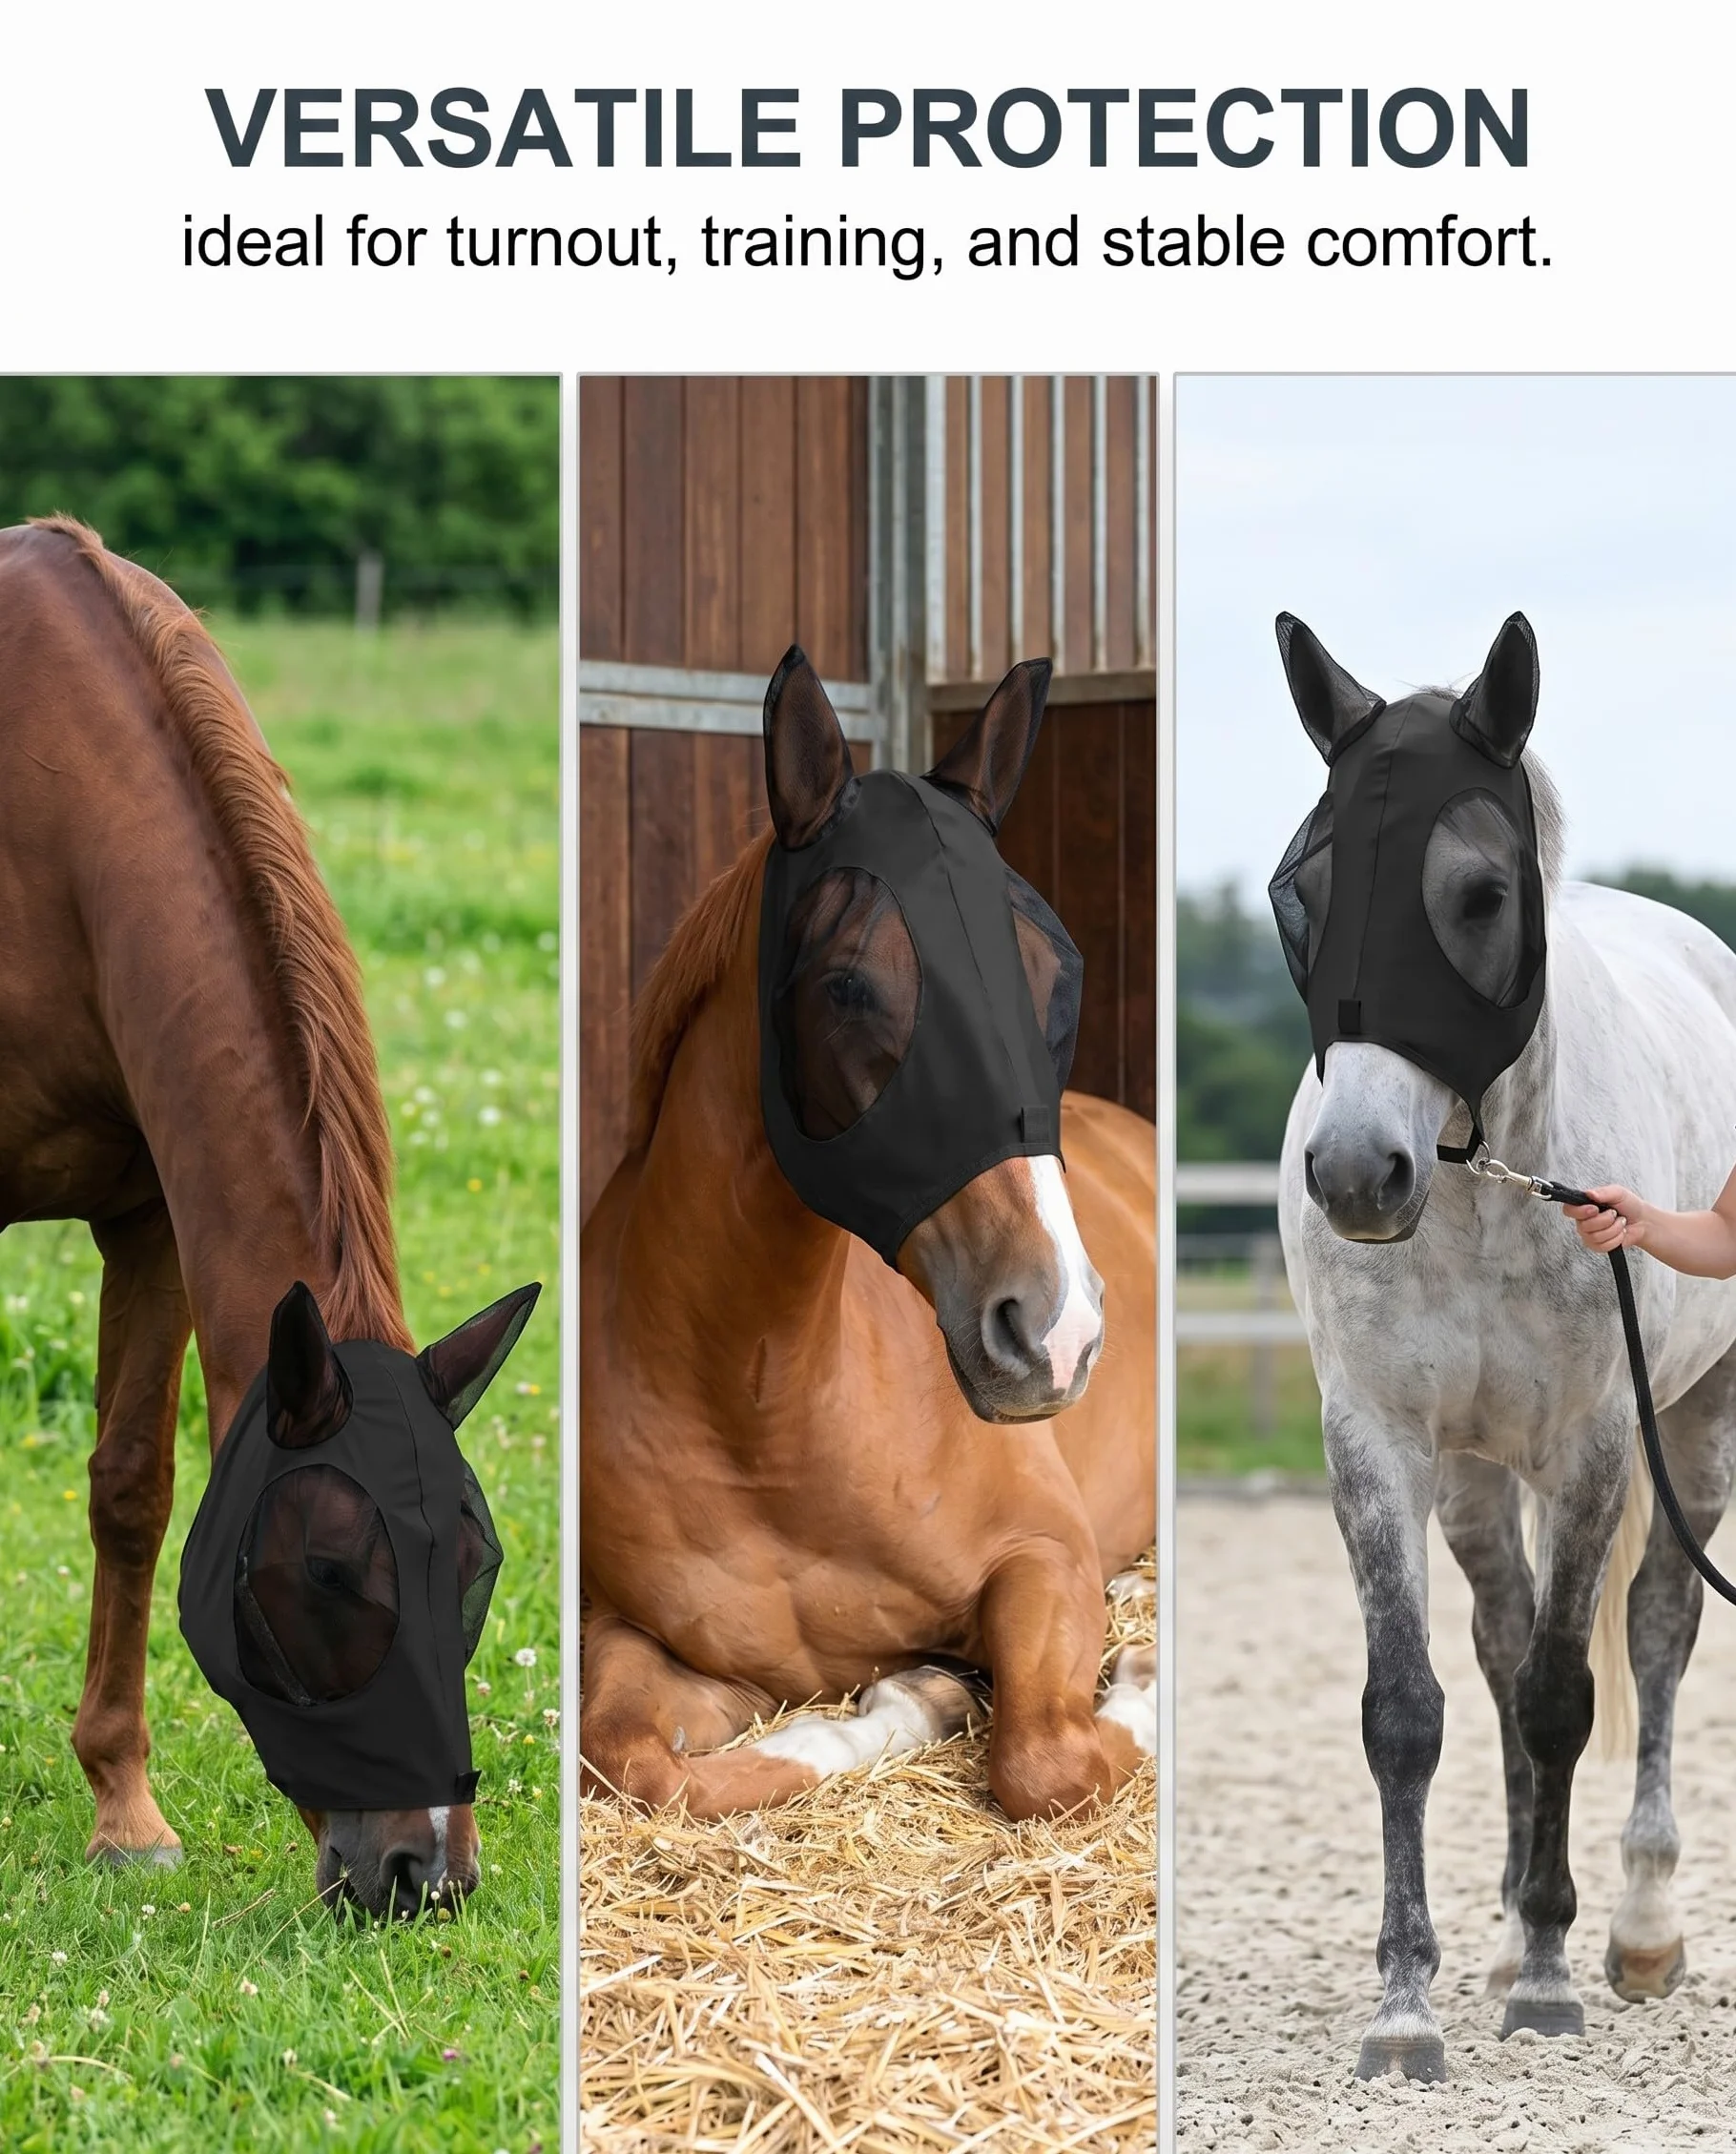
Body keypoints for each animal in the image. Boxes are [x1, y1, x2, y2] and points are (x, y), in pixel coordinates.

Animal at [0, 516, 515, 1919]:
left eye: (478, 1563)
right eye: (332, 1571)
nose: (422, 1872)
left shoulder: (150, 1217)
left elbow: (131, 1486)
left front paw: (123, 1808)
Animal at [579, 652, 1156, 1820]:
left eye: (1059, 971)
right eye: (846, 985)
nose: (1057, 1331)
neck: (769, 1417)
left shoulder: (1045, 1556)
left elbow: (1049, 1758)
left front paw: (1143, 1677)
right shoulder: (641, 1639)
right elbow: (635, 1759)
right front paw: (918, 1698)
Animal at [1275, 612, 1736, 2081]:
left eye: (1476, 895)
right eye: (1300, 890)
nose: (1355, 1173)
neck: (1482, 1183)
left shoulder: (1593, 1447)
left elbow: (1560, 1697)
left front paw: (1548, 1978)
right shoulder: (1376, 1444)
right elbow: (1409, 1708)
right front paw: (1407, 2001)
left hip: (1692, 1424)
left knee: (1653, 1628)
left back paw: (1633, 1926)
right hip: (1479, 1477)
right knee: (1497, 1635)